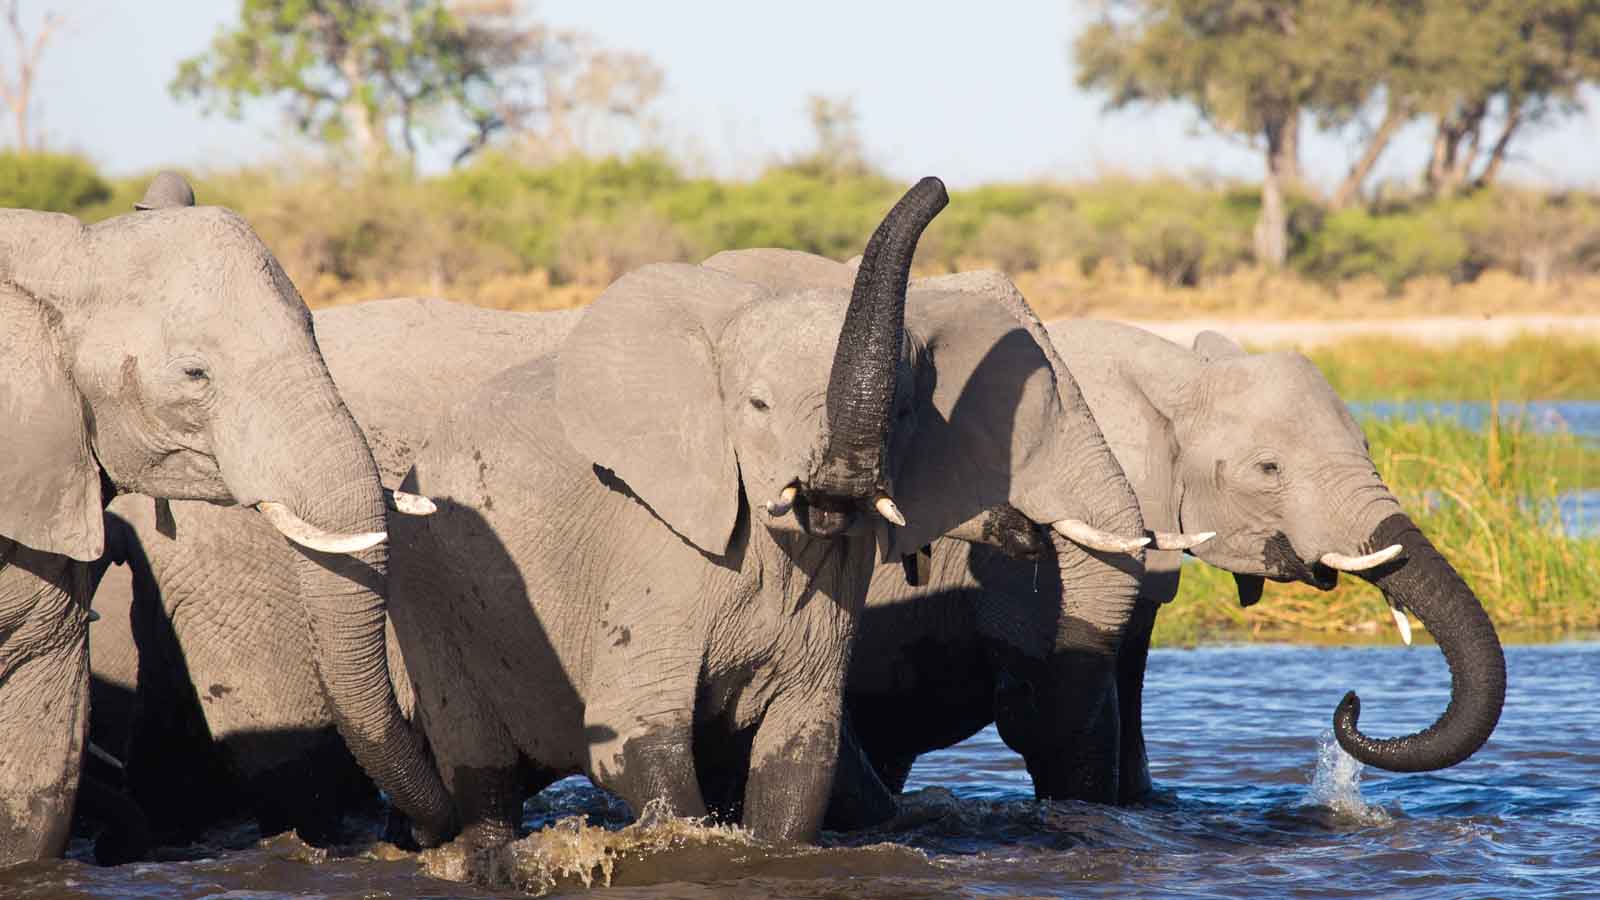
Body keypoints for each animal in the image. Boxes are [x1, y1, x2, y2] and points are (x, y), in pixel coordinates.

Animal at [377, 176, 1152, 845]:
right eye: (756, 406)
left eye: (906, 411)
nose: (937, 186)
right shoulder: (653, 549)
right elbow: (635, 732)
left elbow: (801, 753)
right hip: (432, 596)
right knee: (483, 773)